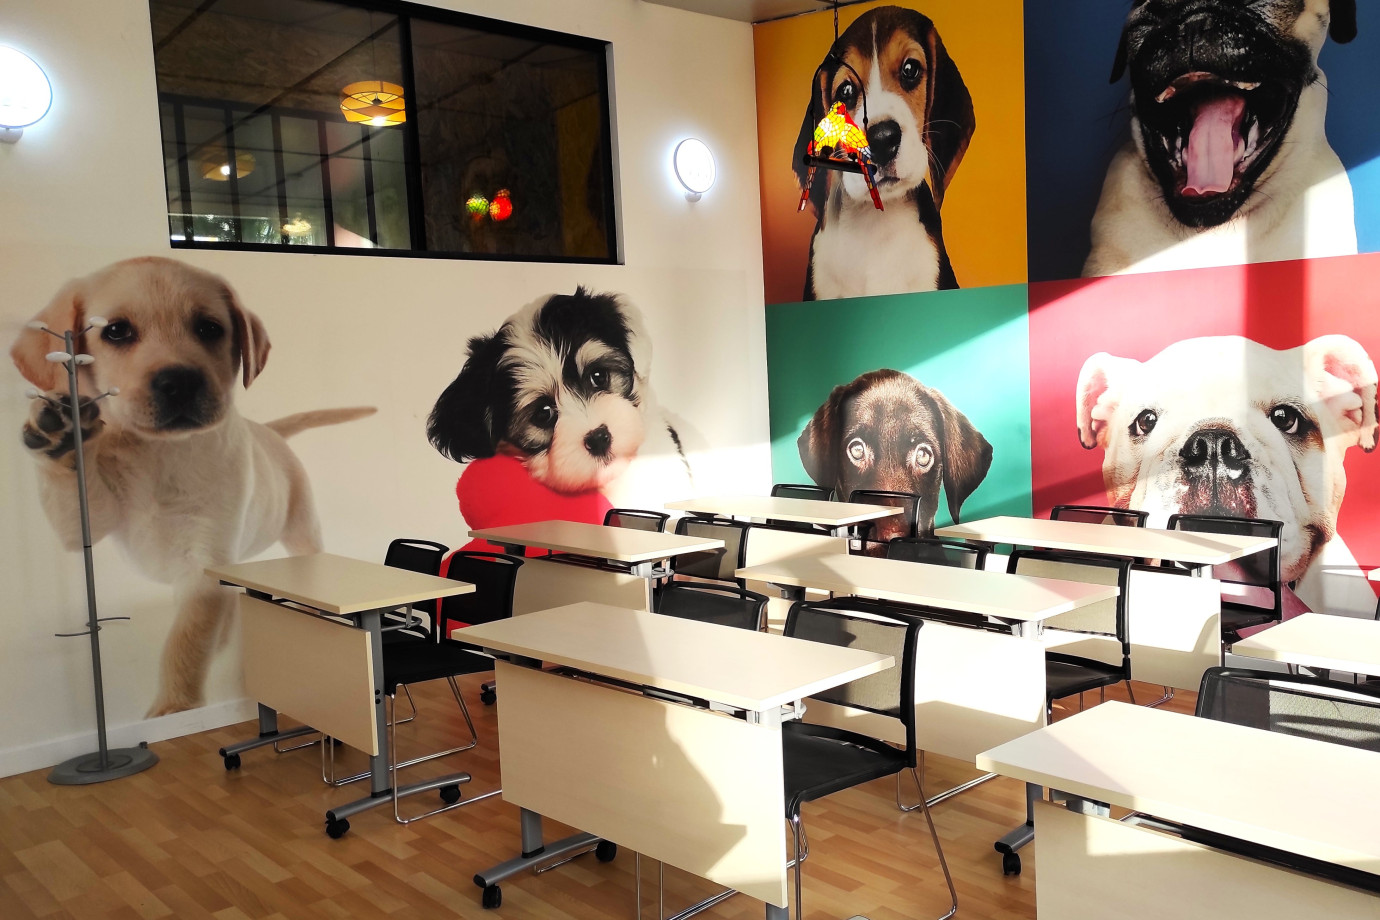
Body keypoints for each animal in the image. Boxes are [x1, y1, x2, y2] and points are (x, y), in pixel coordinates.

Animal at [12, 257, 374, 716]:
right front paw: (59, 434)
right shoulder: (84, 528)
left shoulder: (204, 561)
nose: (179, 382)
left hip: (299, 529)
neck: (159, 452)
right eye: (116, 331)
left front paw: (175, 708)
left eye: (209, 328)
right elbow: (73, 489)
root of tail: (269, 432)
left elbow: (185, 643)